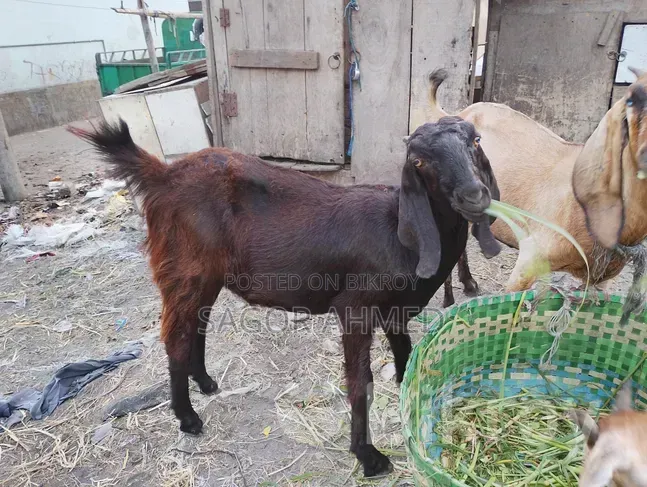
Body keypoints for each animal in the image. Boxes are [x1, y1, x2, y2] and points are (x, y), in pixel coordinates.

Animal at [68, 116, 499, 477]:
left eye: (476, 140)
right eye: (420, 161)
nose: (474, 195)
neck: (398, 227)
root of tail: (164, 173)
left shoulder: (396, 308)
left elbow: (406, 355)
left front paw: (409, 400)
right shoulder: (355, 307)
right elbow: (361, 381)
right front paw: (368, 456)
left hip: (207, 273)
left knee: (198, 324)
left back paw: (205, 382)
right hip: (185, 267)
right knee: (176, 335)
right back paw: (188, 419)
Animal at [422, 68, 647, 306]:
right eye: (632, 100)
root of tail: (461, 112)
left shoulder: (602, 281)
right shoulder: (530, 257)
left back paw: (469, 284)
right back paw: (450, 298)